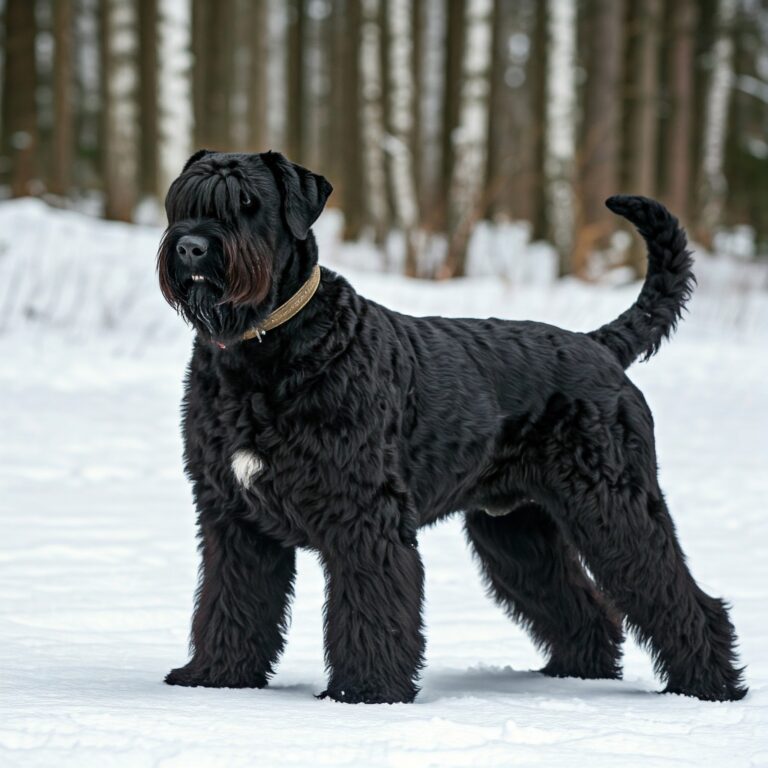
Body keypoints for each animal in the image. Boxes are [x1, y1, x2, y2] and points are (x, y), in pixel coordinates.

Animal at [156, 148, 744, 704]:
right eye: (182, 201)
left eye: (247, 203)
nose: (191, 247)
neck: (267, 348)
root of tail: (598, 346)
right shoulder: (232, 516)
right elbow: (231, 600)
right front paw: (217, 676)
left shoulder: (363, 514)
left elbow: (370, 608)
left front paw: (366, 692)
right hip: (516, 529)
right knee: (585, 606)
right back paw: (577, 671)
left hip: (613, 506)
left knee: (678, 593)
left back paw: (708, 686)